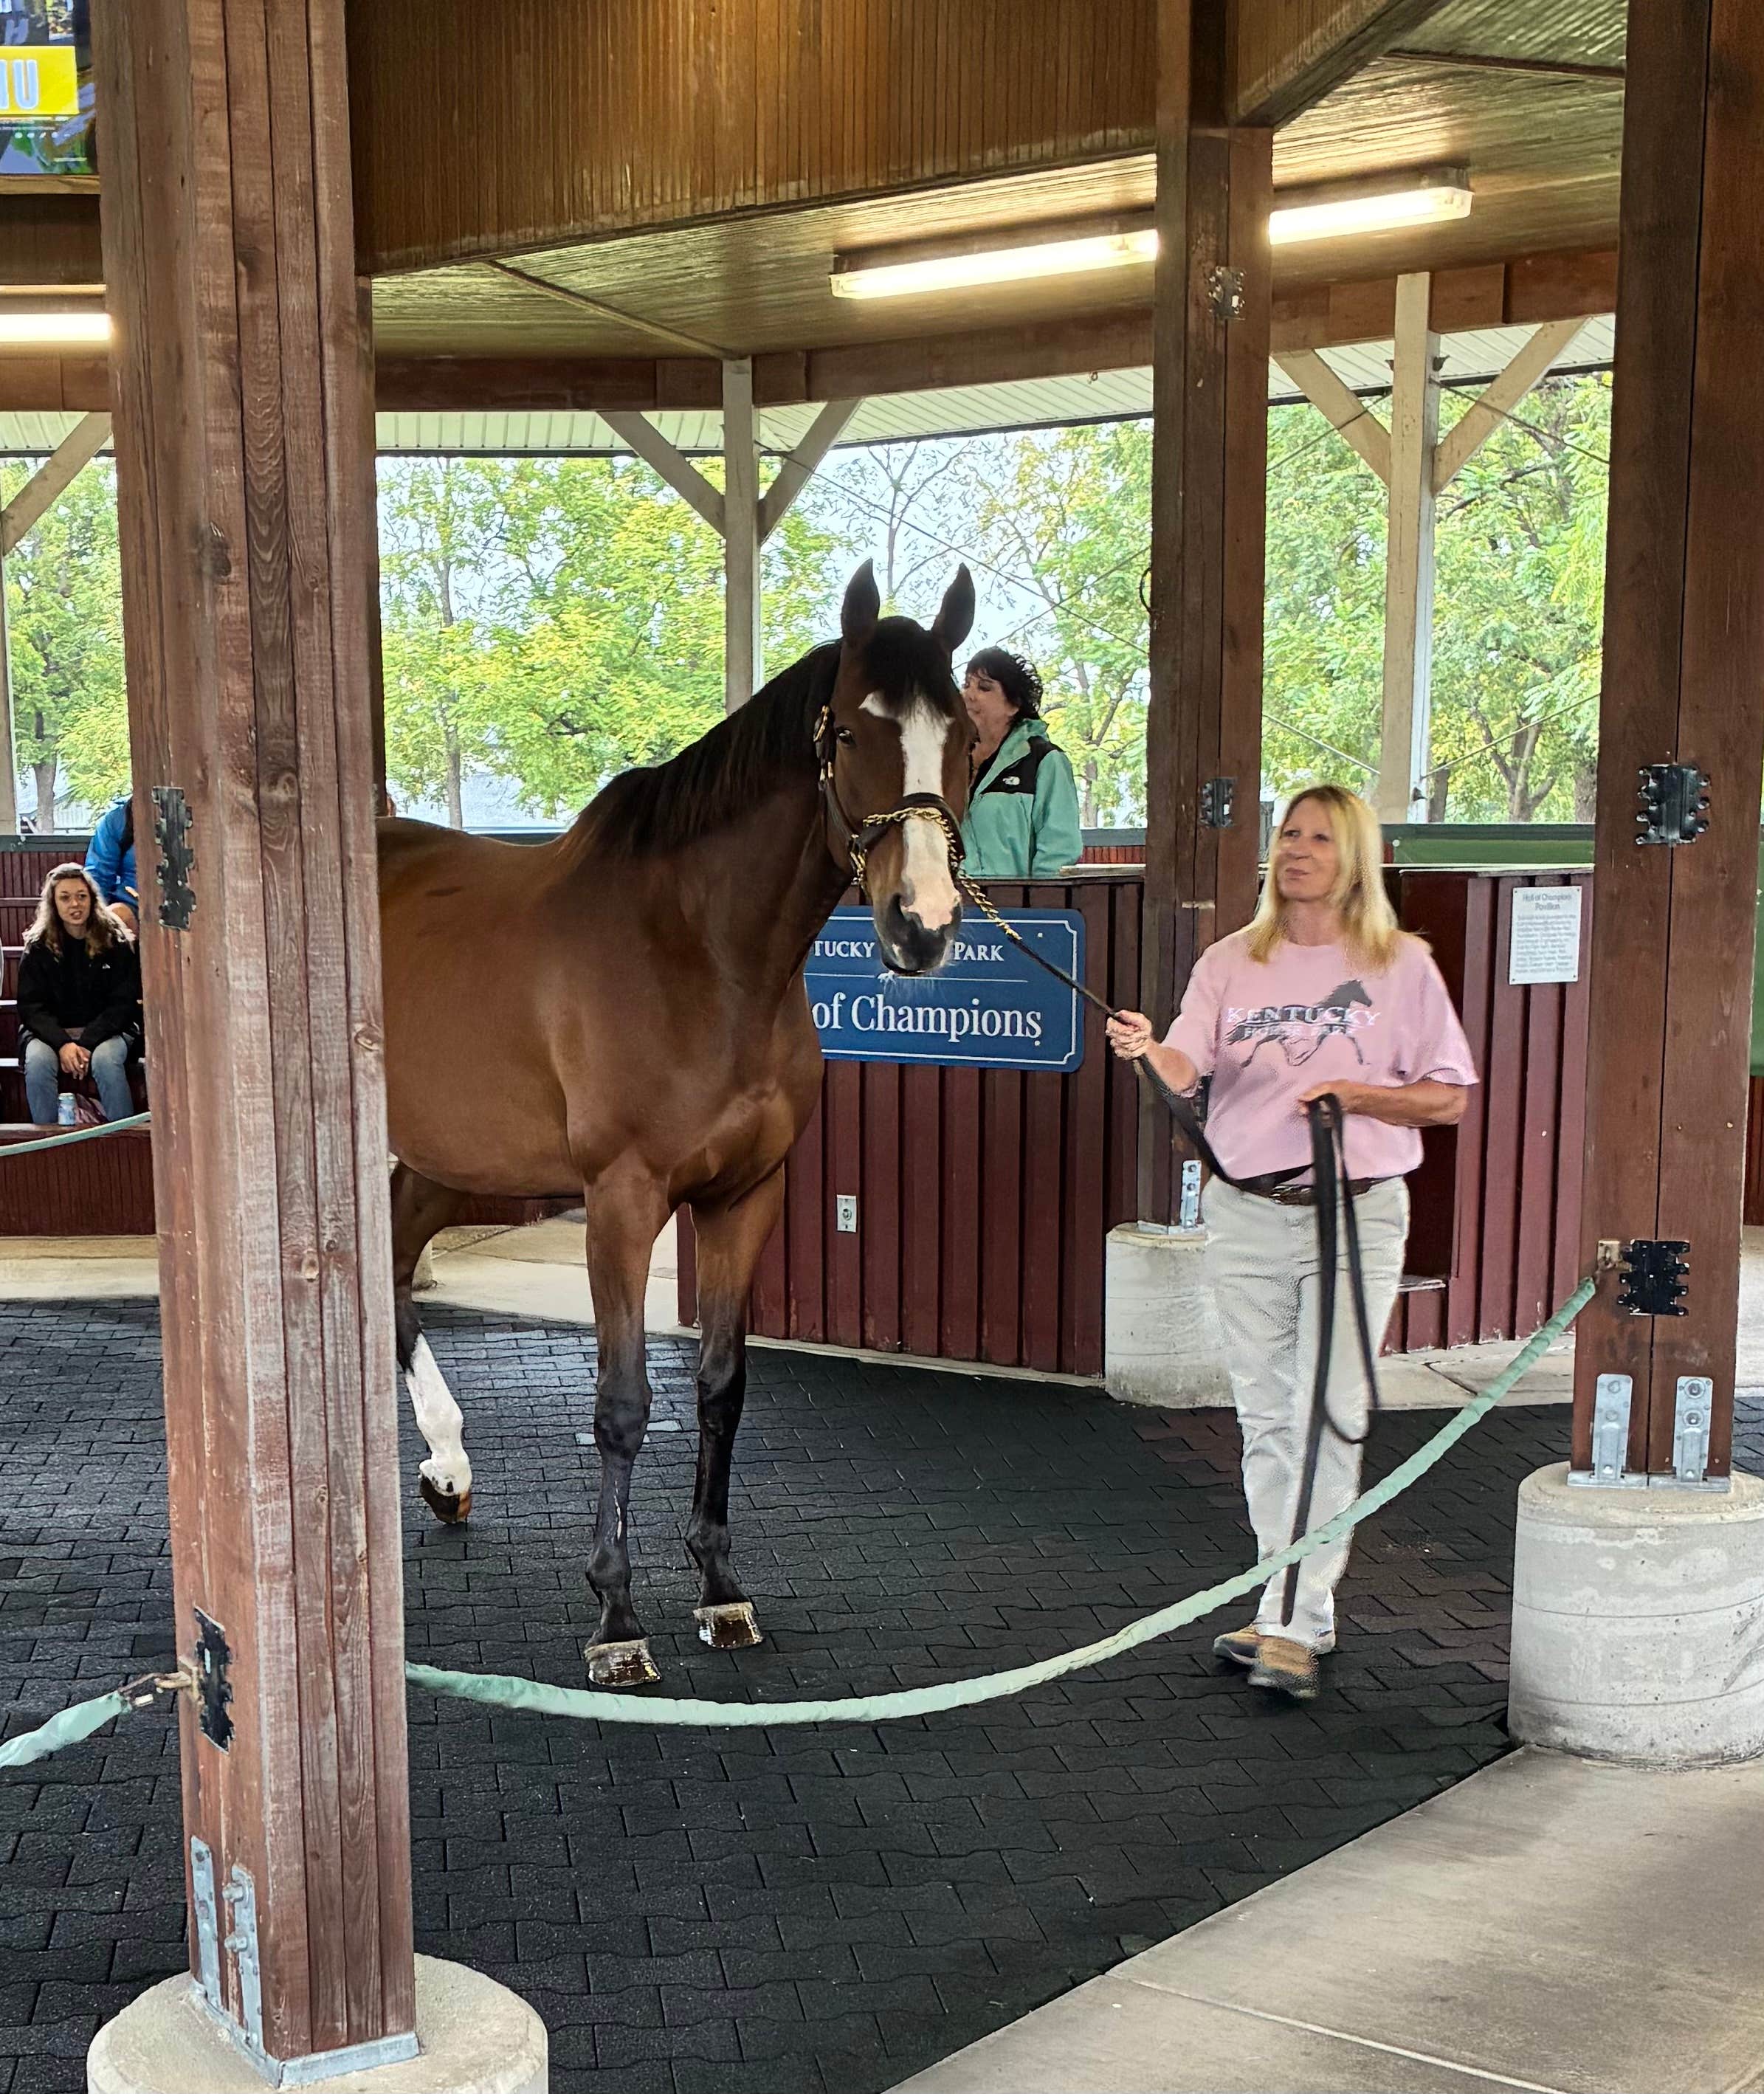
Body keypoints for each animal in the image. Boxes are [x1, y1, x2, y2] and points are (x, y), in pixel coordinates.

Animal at [377, 561, 977, 1685]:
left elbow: (720, 1387)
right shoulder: (622, 1199)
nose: (921, 923)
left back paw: (447, 1466)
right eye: (847, 733)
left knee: (392, 1280)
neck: (701, 953)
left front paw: (718, 1585)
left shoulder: (745, 1196)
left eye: (959, 733)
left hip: (443, 1157)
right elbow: (621, 1406)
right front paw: (615, 1620)